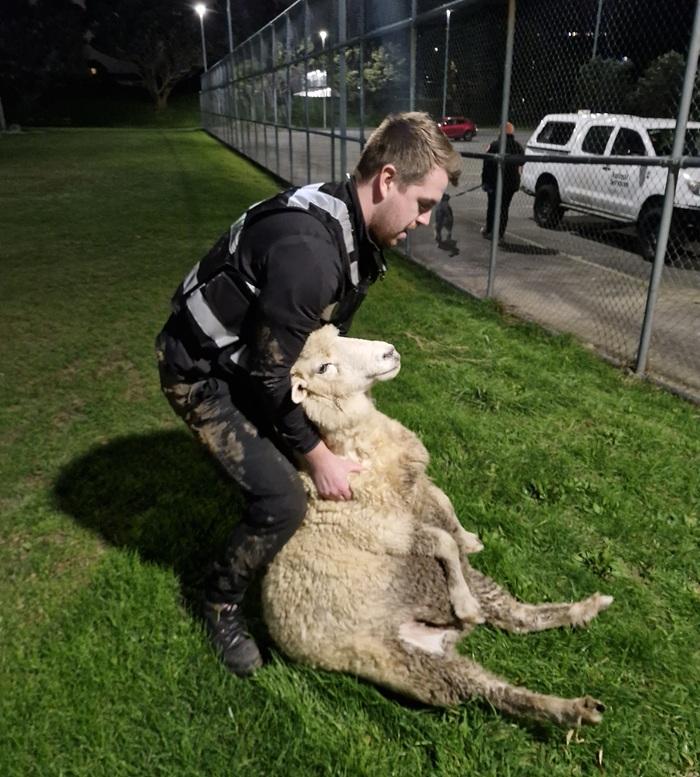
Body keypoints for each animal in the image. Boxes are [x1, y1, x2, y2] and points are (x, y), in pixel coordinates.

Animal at [261, 326, 613, 727]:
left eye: (340, 333)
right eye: (324, 367)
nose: (389, 352)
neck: (363, 450)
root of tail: (443, 634)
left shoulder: (422, 490)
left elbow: (447, 508)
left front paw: (470, 539)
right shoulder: (386, 528)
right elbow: (443, 541)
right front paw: (464, 600)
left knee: (518, 618)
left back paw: (586, 612)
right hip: (413, 668)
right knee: (497, 688)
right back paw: (570, 706)